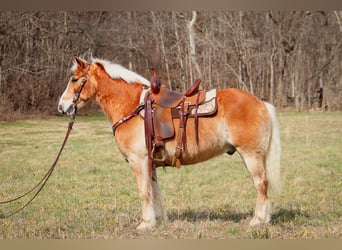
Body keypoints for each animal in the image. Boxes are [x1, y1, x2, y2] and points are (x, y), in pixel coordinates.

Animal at [58, 56, 280, 230]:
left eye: (75, 79)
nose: (61, 106)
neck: (132, 106)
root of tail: (261, 102)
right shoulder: (150, 163)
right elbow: (155, 191)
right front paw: (158, 220)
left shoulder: (138, 161)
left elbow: (144, 191)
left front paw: (146, 224)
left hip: (250, 155)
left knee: (261, 183)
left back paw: (258, 220)